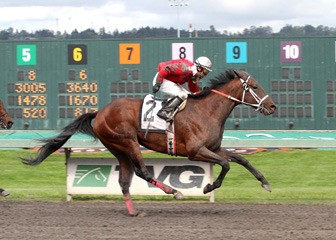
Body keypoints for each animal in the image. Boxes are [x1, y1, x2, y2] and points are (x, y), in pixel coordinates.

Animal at [21, 69, 276, 216]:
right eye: (254, 87)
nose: (272, 106)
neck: (207, 110)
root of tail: (100, 112)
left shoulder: (214, 148)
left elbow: (241, 159)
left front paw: (265, 183)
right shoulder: (196, 151)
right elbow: (226, 165)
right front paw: (207, 187)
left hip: (118, 149)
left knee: (125, 180)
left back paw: (134, 212)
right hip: (128, 142)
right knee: (141, 171)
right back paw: (175, 192)